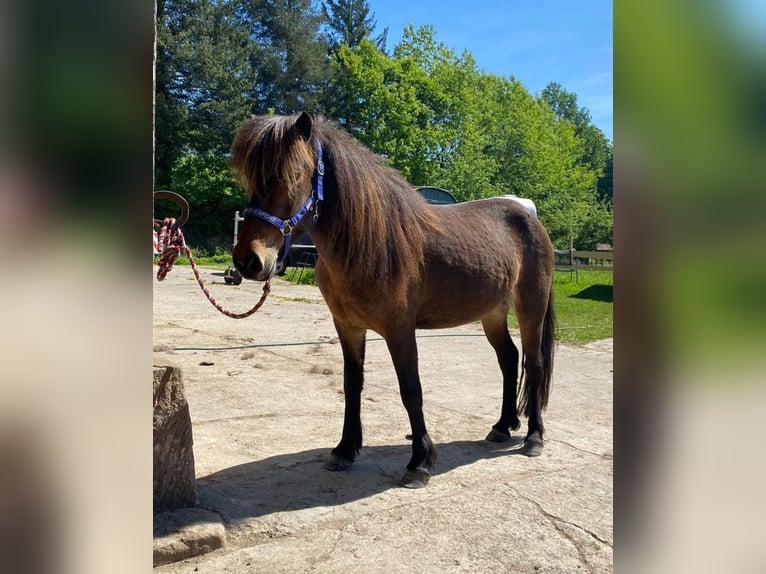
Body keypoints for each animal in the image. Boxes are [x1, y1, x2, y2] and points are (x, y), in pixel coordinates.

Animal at [231, 112, 556, 488]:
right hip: (492, 313)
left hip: (530, 308)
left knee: (534, 364)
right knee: (509, 359)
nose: (249, 261)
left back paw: (534, 437)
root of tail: (530, 218)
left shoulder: (400, 329)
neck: (370, 242)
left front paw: (420, 462)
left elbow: (410, 389)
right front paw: (345, 450)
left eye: (293, 174)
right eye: (250, 178)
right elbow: (352, 384)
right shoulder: (348, 327)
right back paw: (502, 427)